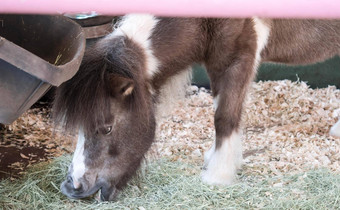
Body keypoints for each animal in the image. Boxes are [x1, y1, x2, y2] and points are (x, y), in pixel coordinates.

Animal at [53, 13, 340, 201]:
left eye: (107, 128)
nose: (74, 187)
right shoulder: (216, 62)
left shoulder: (238, 57)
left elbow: (225, 117)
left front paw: (218, 176)